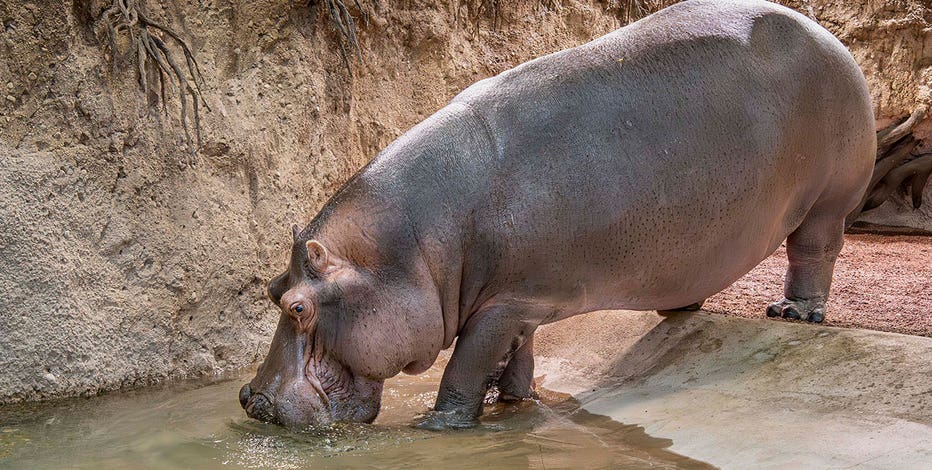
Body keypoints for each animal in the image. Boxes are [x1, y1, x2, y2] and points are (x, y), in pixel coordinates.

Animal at [239, 0, 875, 429]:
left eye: (298, 307)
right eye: (271, 289)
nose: (252, 400)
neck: (412, 249)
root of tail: (827, 33)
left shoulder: (503, 304)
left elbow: (464, 368)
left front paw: (438, 426)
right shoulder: (518, 304)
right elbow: (516, 359)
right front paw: (517, 406)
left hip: (830, 200)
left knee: (814, 252)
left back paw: (795, 313)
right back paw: (681, 308)